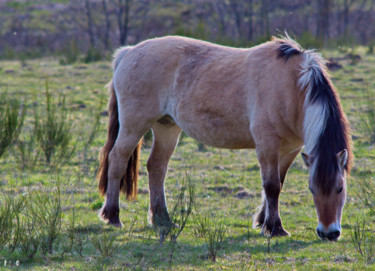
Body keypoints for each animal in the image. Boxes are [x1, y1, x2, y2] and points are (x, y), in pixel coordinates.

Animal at [97, 36, 352, 242]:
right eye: (312, 188)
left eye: (340, 188)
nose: (329, 233)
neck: (292, 87)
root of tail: (128, 52)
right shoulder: (267, 144)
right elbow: (271, 186)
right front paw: (274, 227)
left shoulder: (290, 150)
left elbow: (278, 183)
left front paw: (262, 221)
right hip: (134, 125)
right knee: (117, 159)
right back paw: (112, 215)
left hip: (166, 127)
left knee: (157, 167)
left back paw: (162, 219)